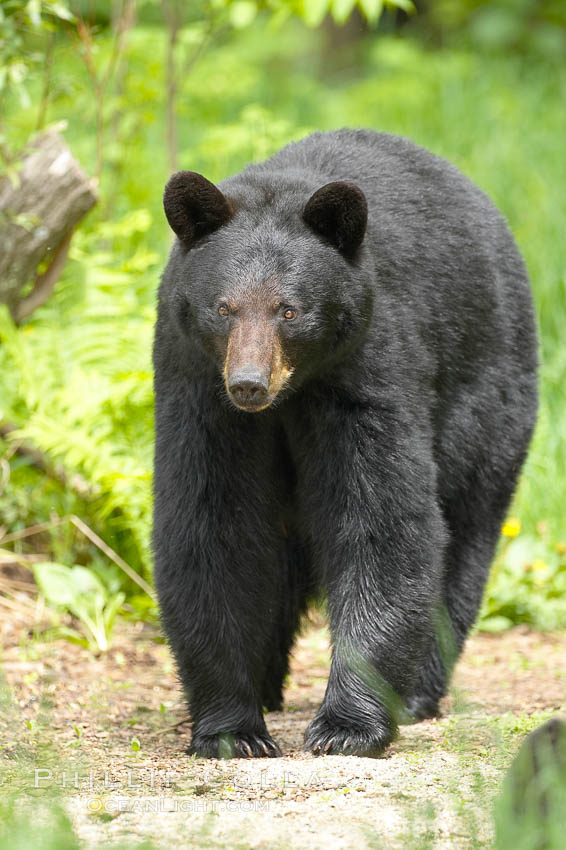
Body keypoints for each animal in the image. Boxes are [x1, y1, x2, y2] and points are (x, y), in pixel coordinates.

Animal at [153, 127, 540, 756]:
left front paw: (346, 726)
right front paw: (231, 729)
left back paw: (417, 692)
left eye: (289, 310)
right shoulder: (200, 391)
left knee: (464, 529)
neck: (292, 396)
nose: (249, 383)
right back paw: (268, 685)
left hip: (486, 393)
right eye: (224, 307)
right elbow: (212, 525)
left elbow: (381, 522)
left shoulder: (367, 373)